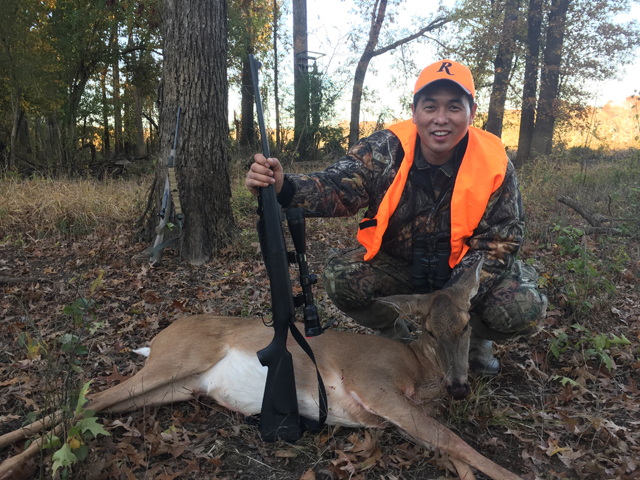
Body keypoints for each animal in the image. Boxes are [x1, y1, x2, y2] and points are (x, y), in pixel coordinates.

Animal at [0, 259, 521, 480]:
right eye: (427, 329)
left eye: (466, 324)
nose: (459, 387)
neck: (416, 368)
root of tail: (165, 330)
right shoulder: (373, 385)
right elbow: (453, 439)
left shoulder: (392, 413)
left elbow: (448, 448)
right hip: (175, 362)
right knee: (82, 403)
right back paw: (10, 462)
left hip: (177, 388)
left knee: (90, 411)